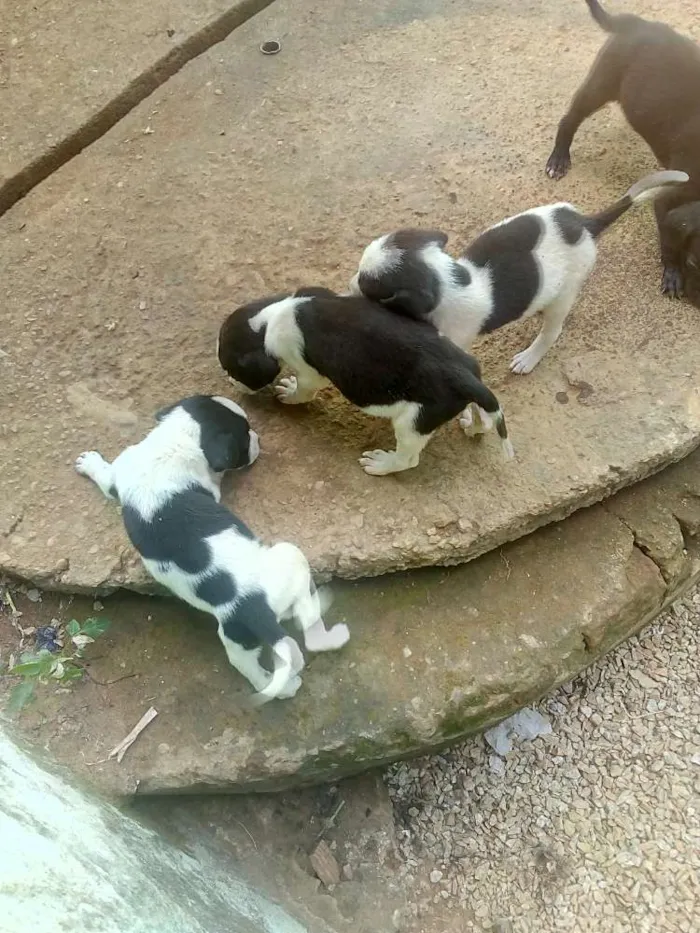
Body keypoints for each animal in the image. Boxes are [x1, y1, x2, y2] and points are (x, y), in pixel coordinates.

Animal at [74, 394, 348, 708]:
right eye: (245, 435)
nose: (259, 437)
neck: (177, 439)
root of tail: (256, 608)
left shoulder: (118, 475)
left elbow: (106, 476)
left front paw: (89, 462)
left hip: (242, 631)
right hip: (288, 558)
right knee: (294, 633)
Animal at [348, 169, 688, 374]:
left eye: (367, 285)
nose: (348, 284)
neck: (450, 281)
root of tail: (585, 224)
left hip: (567, 290)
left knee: (552, 331)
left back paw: (530, 356)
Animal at [548, 0, 700, 302]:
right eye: (695, 263)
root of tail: (637, 22)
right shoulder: (667, 199)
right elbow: (669, 243)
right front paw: (673, 273)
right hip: (601, 84)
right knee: (570, 119)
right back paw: (558, 158)